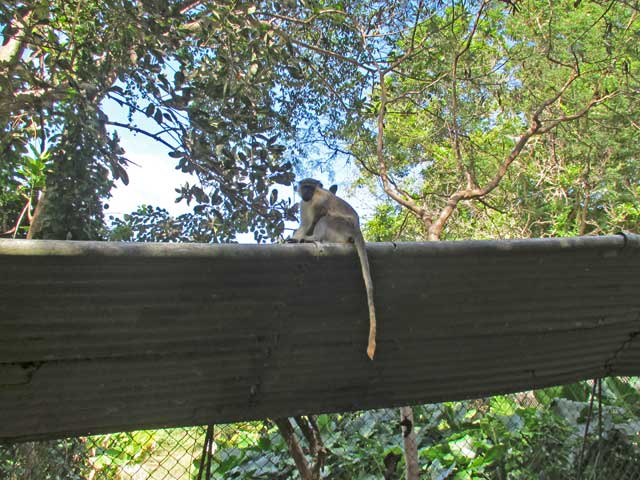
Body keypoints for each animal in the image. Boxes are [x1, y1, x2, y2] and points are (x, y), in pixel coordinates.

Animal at [290, 178, 377, 360]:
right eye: (304, 187)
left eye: (311, 187)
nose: (307, 193)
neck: (312, 199)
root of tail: (356, 230)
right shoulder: (304, 204)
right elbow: (304, 224)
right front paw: (294, 239)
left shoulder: (320, 199)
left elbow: (318, 216)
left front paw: (302, 238)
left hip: (342, 226)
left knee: (326, 219)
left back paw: (313, 238)